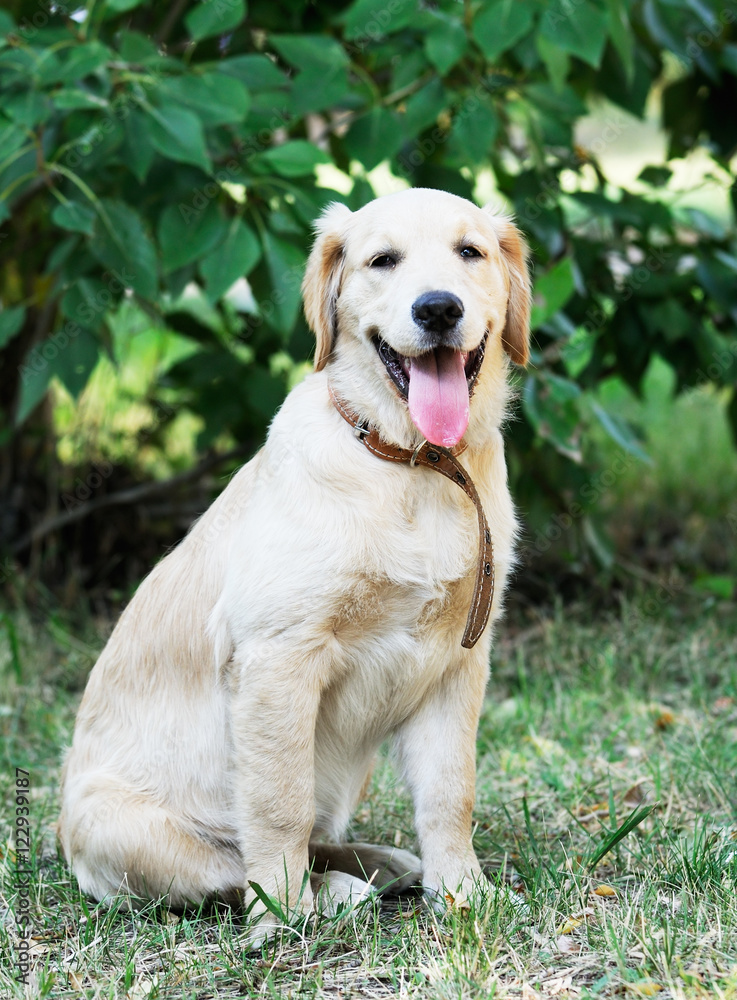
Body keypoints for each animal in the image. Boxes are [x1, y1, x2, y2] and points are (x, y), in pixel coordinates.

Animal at [57, 186, 528, 936]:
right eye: (382, 260)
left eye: (469, 252)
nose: (438, 309)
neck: (410, 463)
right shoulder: (279, 657)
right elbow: (278, 805)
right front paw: (283, 917)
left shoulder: (458, 658)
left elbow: (450, 792)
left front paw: (462, 891)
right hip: (116, 825)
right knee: (229, 866)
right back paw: (329, 892)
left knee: (321, 833)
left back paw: (383, 864)